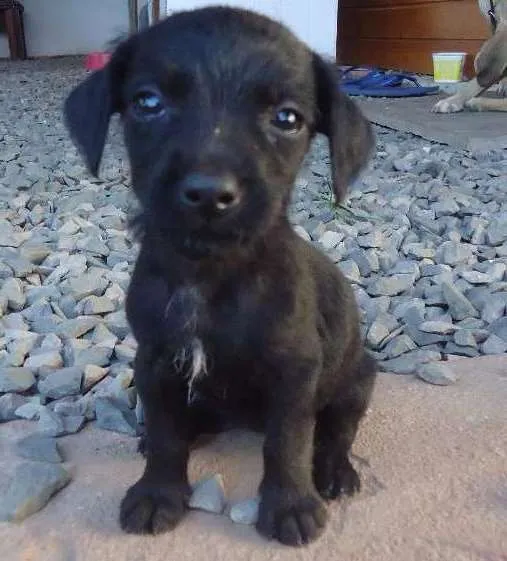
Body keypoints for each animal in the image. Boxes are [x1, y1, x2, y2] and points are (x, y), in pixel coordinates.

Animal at [65, 6, 378, 544]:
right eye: (147, 102)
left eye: (287, 119)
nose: (210, 193)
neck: (208, 274)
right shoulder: (156, 361)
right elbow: (167, 434)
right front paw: (157, 492)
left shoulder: (295, 372)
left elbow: (289, 441)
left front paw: (290, 505)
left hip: (357, 378)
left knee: (337, 429)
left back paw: (335, 471)